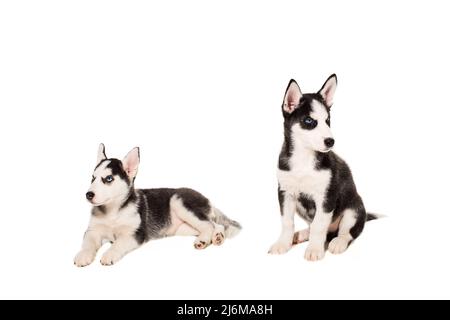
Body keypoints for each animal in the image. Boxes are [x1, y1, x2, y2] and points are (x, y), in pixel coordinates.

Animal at [74, 144, 243, 266]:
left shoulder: (135, 234)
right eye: (93, 178)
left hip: (179, 202)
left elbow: (118, 244)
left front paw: (109, 254)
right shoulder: (93, 231)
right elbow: (88, 243)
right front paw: (83, 255)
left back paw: (203, 240)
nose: (88, 194)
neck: (113, 212)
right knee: (216, 225)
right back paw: (217, 237)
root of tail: (208, 200)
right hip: (183, 228)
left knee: (209, 225)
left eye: (108, 179)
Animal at [268, 76, 378, 262]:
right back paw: (302, 234)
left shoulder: (326, 197)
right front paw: (283, 244)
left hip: (354, 209)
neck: (303, 158)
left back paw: (337, 242)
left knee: (346, 233)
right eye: (309, 121)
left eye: (327, 121)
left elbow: (319, 226)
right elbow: (287, 222)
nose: (330, 141)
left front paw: (314, 249)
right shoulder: (285, 193)